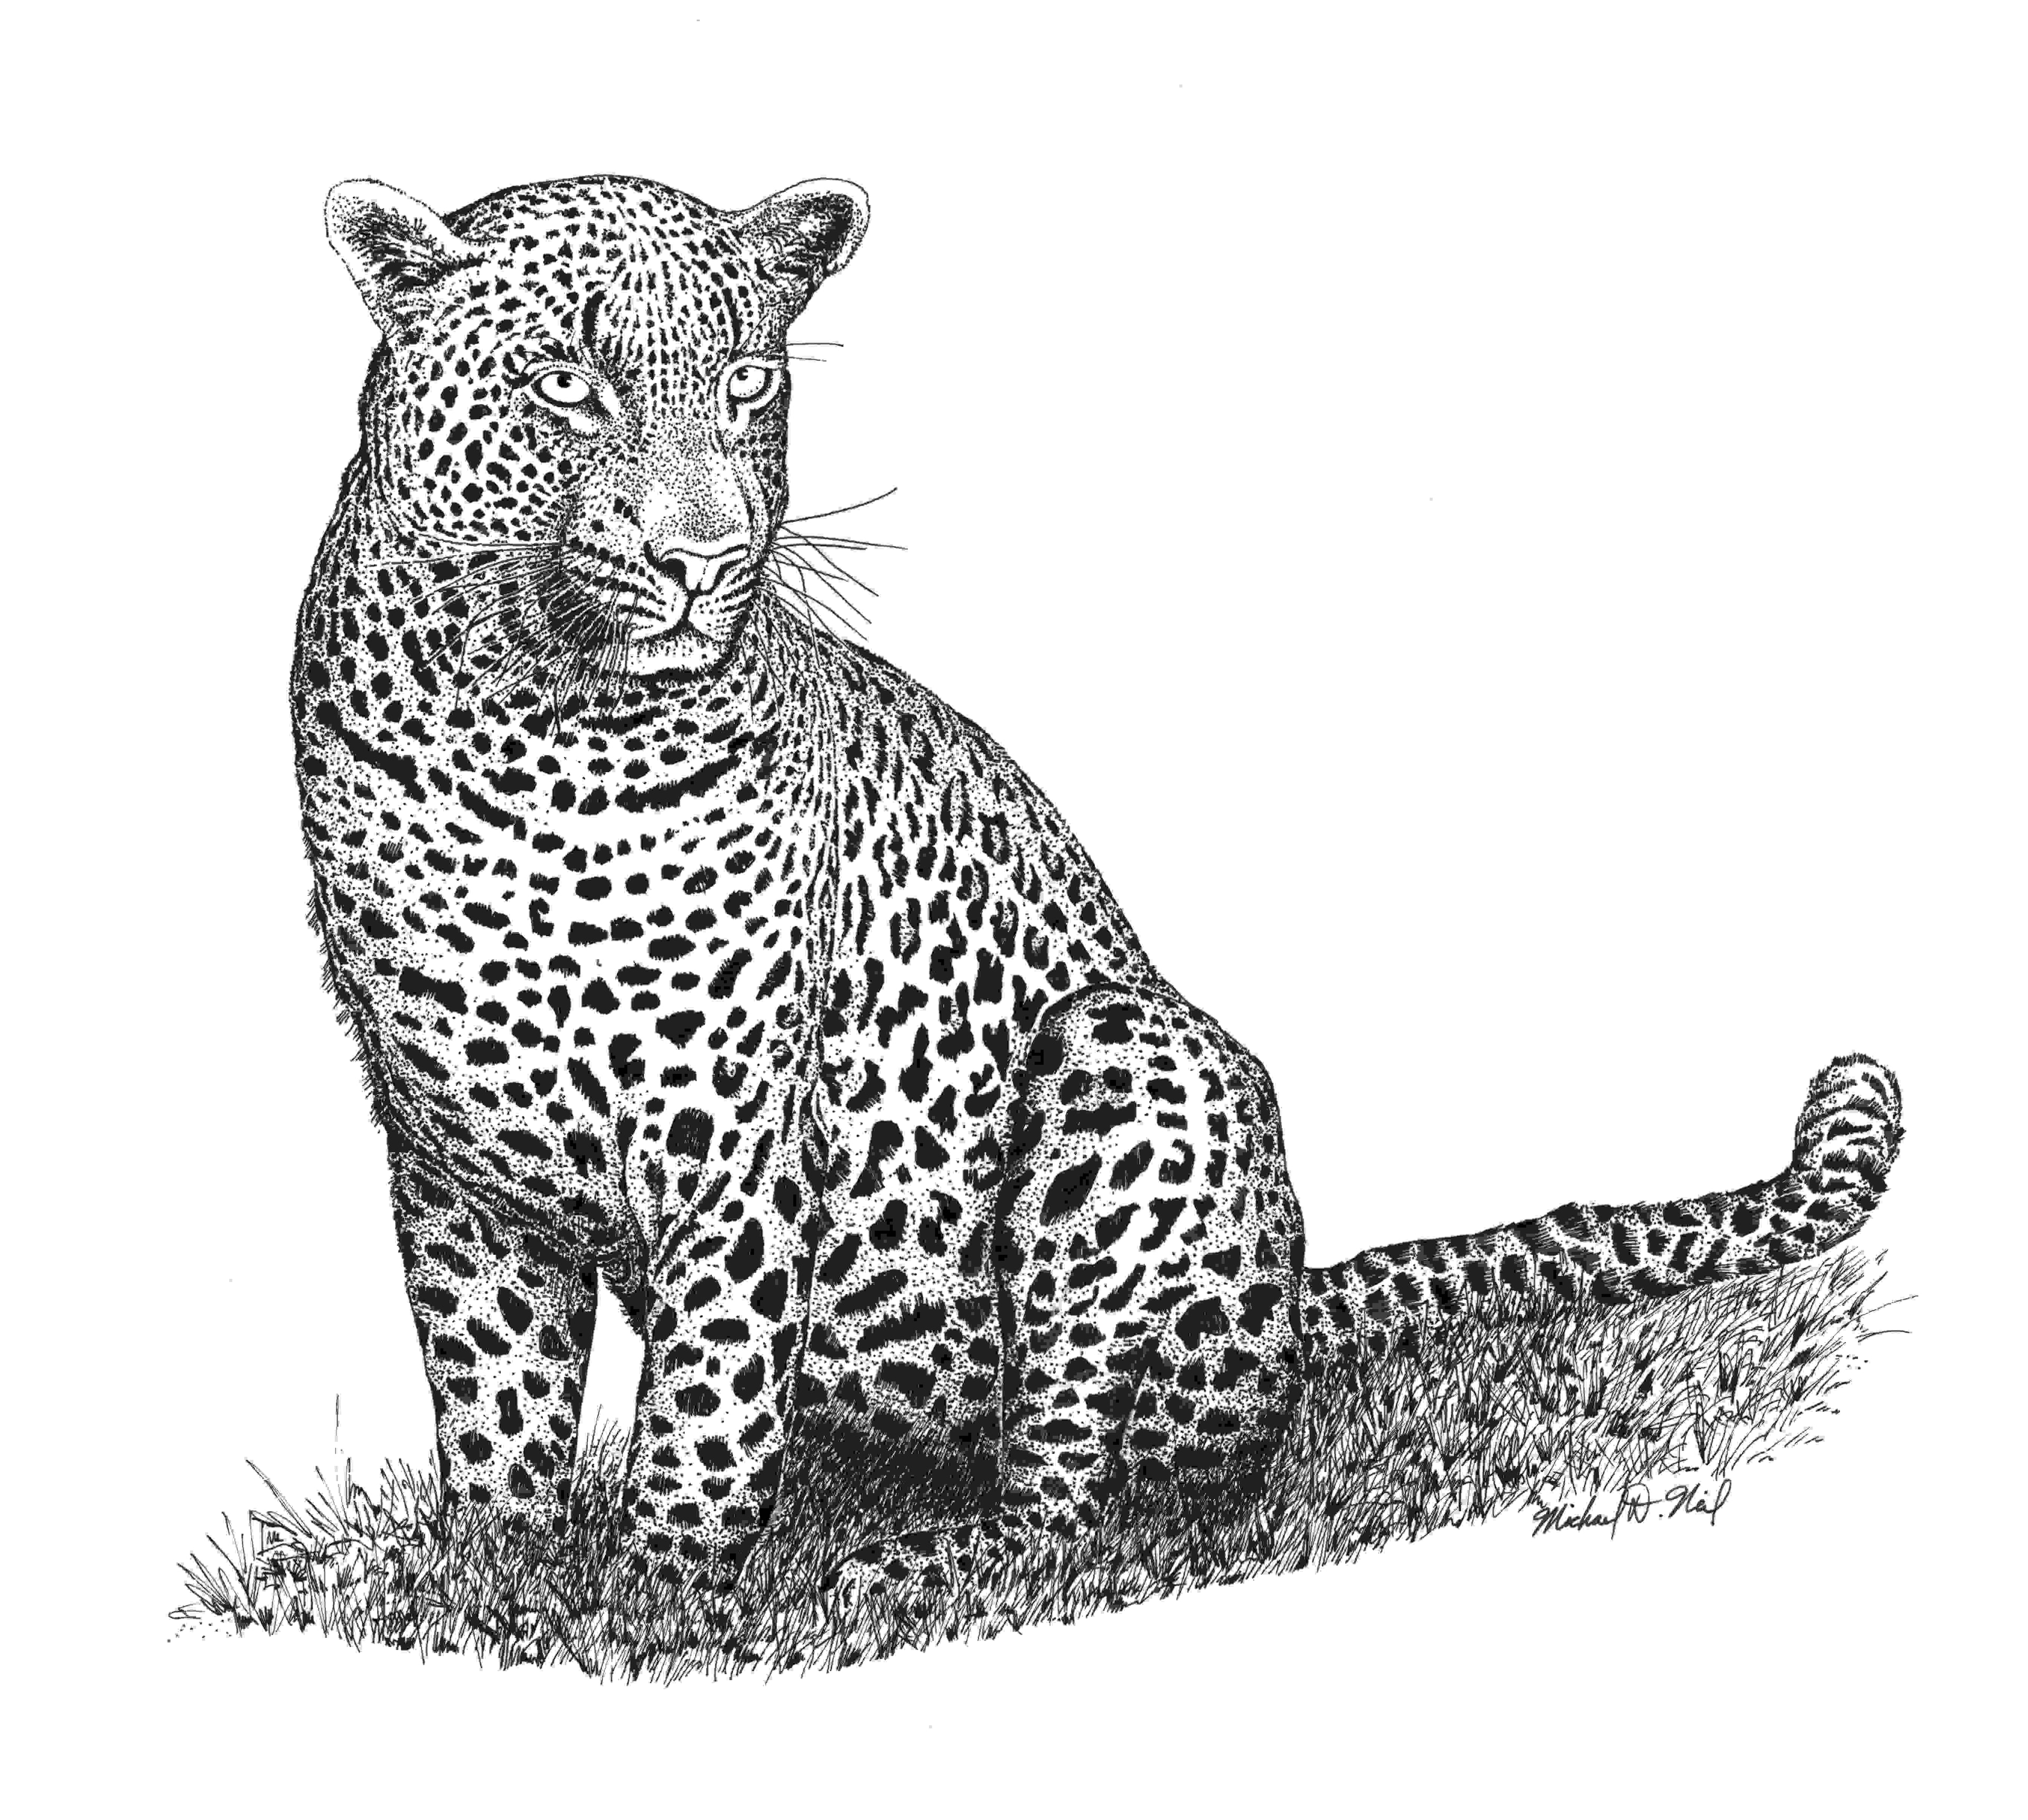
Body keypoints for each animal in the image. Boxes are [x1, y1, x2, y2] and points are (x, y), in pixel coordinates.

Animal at [293, 171, 1904, 1601]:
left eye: (746, 382)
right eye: (568, 384)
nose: (704, 555)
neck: (529, 725)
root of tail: (1290, 1301)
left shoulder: (737, 1143)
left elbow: (708, 1393)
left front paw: (663, 1600)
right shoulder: (449, 1158)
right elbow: (492, 1390)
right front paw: (499, 1578)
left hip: (1132, 1064)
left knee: (1082, 1483)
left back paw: (945, 1553)